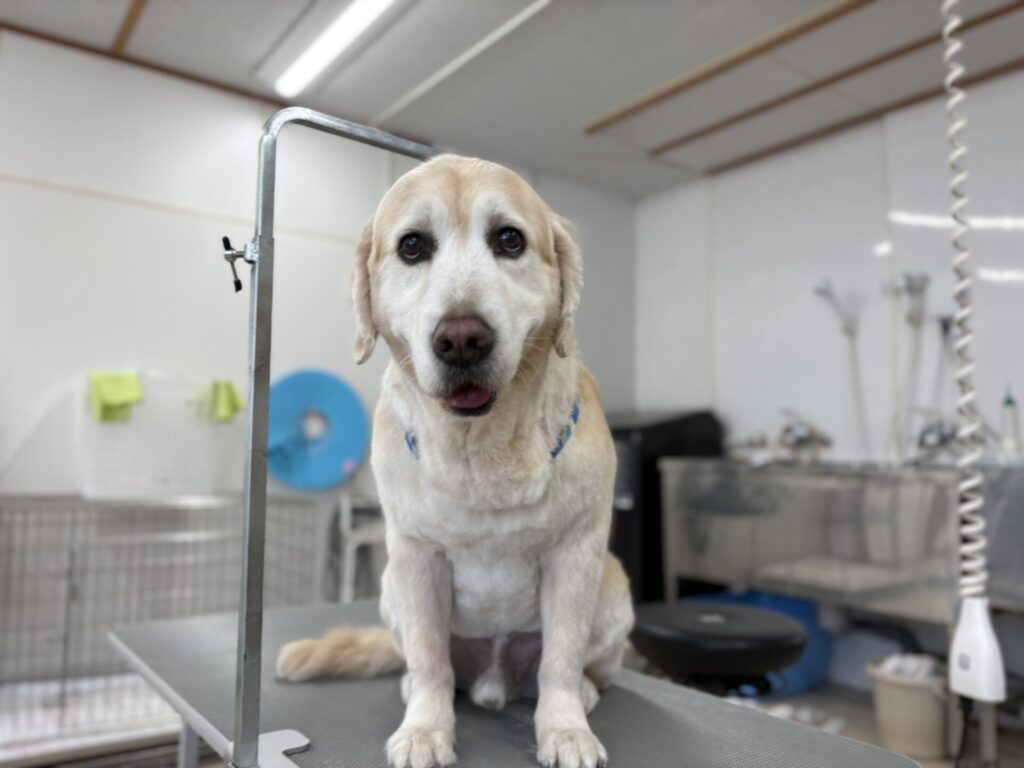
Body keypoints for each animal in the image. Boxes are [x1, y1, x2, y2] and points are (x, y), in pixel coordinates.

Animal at [276, 155, 634, 768]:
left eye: (510, 239)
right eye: (412, 246)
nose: (462, 339)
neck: (479, 447)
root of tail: (494, 681)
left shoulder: (576, 555)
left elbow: (561, 661)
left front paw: (565, 730)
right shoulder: (416, 558)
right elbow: (428, 661)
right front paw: (426, 729)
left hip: (613, 588)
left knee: (579, 666)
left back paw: (584, 693)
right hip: (391, 587)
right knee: (428, 665)